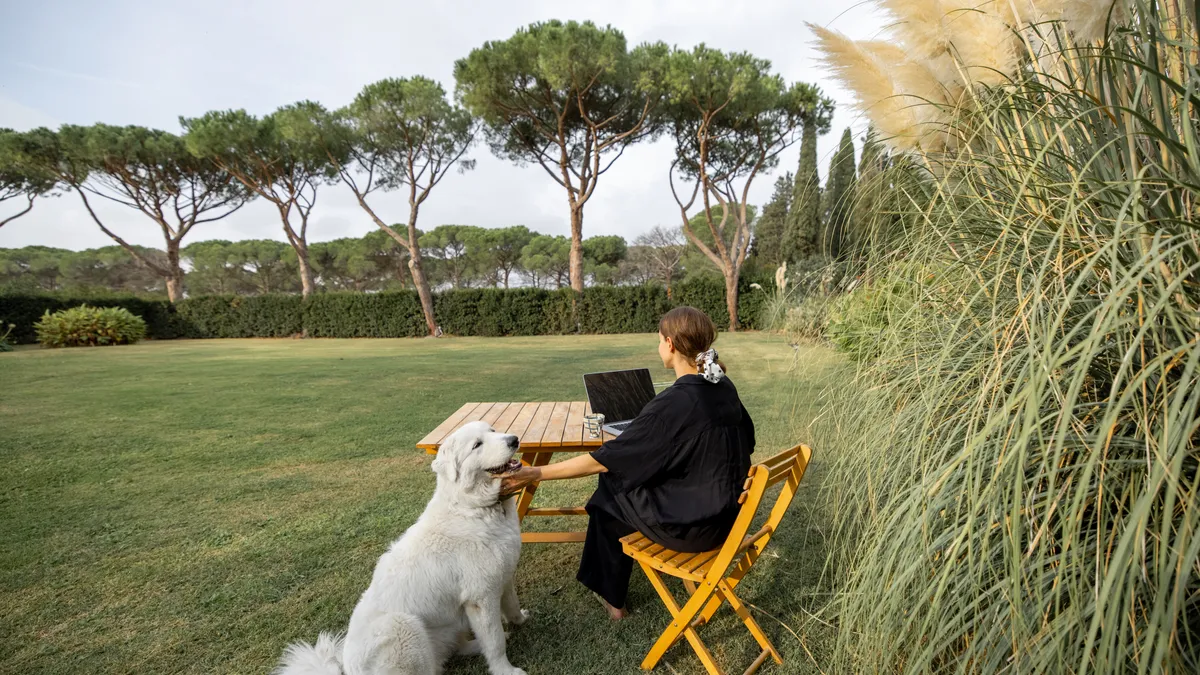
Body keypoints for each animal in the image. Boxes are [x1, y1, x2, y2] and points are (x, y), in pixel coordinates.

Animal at [278, 420, 532, 672]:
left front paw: (521, 620)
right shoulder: (481, 598)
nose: (514, 440)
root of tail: (346, 668)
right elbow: (495, 642)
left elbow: (511, 605)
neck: (473, 507)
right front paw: (506, 670)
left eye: (493, 431)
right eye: (477, 445)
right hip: (403, 626)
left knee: (455, 649)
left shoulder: (503, 578)